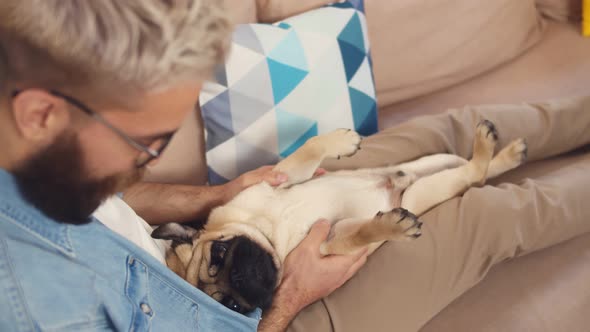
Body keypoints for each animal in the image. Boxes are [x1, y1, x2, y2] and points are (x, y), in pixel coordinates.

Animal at [153, 120, 528, 314]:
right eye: (232, 306)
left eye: (220, 252)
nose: (240, 280)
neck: (274, 237)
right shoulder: (331, 242)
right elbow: (360, 233)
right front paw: (389, 225)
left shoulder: (280, 179)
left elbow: (307, 150)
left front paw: (340, 141)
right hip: (427, 189)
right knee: (472, 175)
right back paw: (495, 152)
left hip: (431, 161)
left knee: (472, 169)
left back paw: (501, 150)